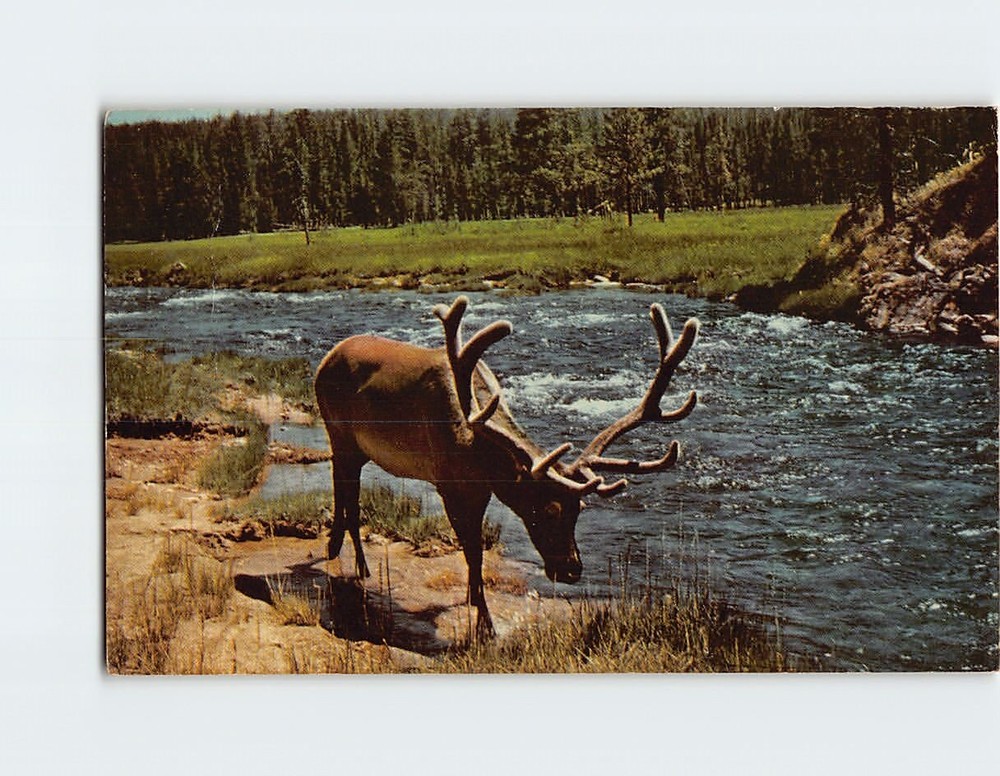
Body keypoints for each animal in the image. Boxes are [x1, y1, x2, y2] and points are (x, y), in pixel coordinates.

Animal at [314, 295, 699, 638]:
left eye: (580, 509)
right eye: (546, 509)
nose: (572, 570)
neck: (480, 451)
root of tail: (326, 358)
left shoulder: (482, 489)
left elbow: (476, 553)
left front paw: (472, 598)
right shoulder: (449, 484)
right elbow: (473, 552)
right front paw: (485, 624)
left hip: (355, 448)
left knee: (344, 488)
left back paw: (341, 553)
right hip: (339, 433)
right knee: (348, 495)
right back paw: (352, 562)